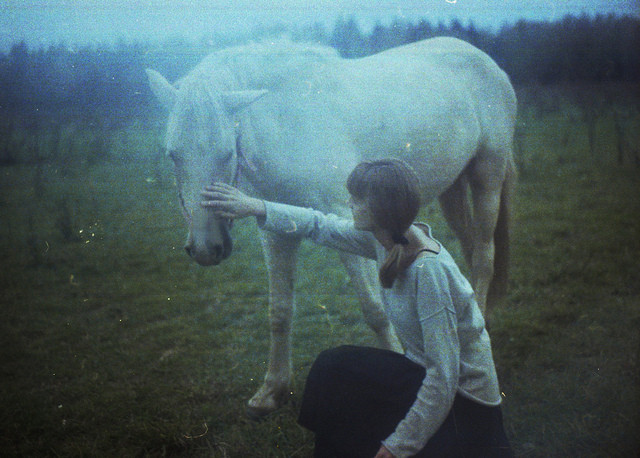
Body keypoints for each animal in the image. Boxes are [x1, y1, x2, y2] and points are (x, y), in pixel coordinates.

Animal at [148, 37, 516, 416]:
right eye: (172, 154)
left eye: (226, 153)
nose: (206, 249)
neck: (287, 122)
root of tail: (482, 57)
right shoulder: (276, 233)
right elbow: (279, 311)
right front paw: (271, 391)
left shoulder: (347, 222)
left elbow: (375, 310)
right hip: (452, 189)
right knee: (470, 251)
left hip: (487, 176)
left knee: (484, 255)